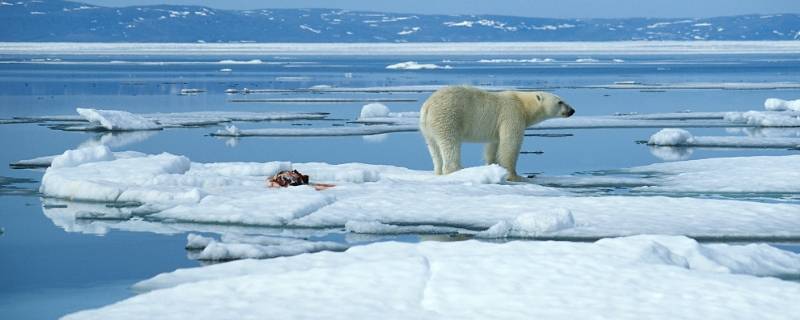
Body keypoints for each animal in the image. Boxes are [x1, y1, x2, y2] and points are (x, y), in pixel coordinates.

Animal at [418, 85, 576, 181]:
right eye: (560, 102)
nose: (572, 110)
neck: (523, 104)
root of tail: (427, 106)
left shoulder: (497, 127)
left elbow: (493, 145)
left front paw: (493, 167)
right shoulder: (512, 114)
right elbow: (510, 144)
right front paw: (515, 176)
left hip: (427, 127)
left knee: (434, 147)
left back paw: (438, 171)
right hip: (448, 116)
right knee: (450, 143)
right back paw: (457, 170)